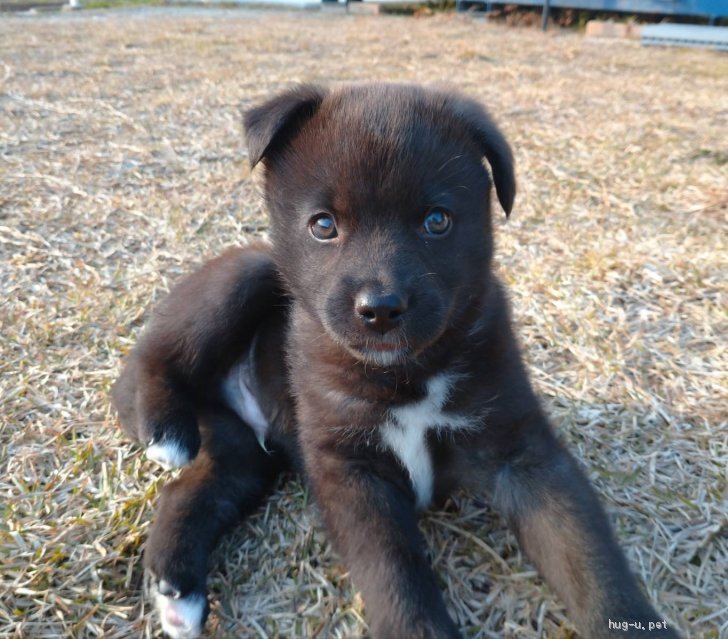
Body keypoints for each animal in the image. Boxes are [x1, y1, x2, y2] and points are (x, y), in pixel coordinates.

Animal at [112, 85, 676, 639]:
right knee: (151, 358)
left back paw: (179, 592)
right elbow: (394, 572)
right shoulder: (351, 470)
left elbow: (587, 557)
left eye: (437, 221)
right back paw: (164, 429)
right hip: (247, 273)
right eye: (323, 225)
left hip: (244, 450)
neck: (408, 375)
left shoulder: (524, 454)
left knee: (199, 488)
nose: (380, 309)